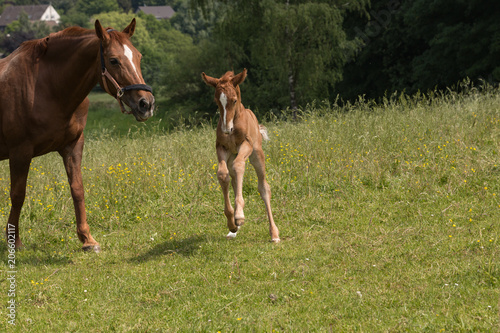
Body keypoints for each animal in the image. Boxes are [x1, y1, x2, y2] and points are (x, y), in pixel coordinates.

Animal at [0, 18, 154, 252]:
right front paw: (14, 242)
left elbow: (78, 189)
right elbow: (18, 195)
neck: (46, 87)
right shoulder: (20, 152)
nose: (146, 104)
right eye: (114, 60)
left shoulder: (73, 146)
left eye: (139, 56)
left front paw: (87, 239)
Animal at [203, 68, 282, 243]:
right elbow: (222, 174)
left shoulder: (246, 145)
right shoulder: (221, 148)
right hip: (232, 155)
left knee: (264, 188)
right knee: (233, 179)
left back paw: (274, 234)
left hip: (257, 155)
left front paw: (239, 216)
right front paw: (232, 222)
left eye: (233, 100)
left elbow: (239, 166)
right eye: (217, 101)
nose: (227, 129)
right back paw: (234, 229)